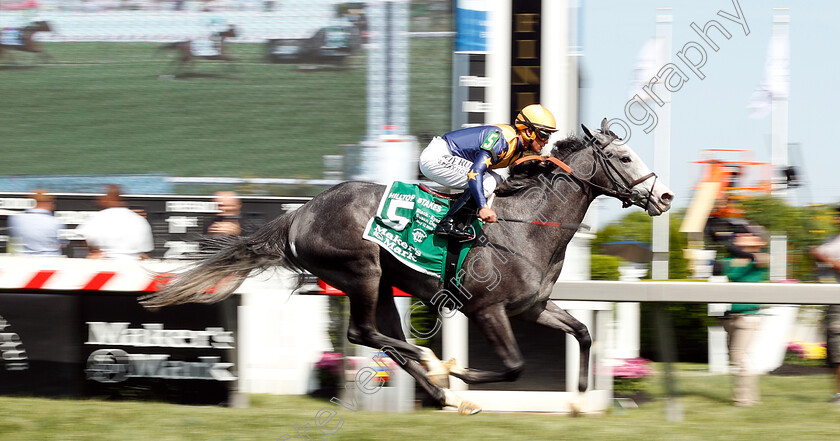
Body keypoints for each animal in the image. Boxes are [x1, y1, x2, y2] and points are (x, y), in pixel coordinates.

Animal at [141, 118, 672, 414]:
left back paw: (440, 392)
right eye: (624, 156)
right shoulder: (488, 310)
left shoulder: (530, 308)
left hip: (383, 285)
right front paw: (461, 373)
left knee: (383, 339)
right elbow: (514, 366)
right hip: (363, 272)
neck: (526, 227)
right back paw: (438, 372)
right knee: (363, 334)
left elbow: (582, 332)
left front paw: (581, 394)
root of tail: (301, 213)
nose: (665, 195)